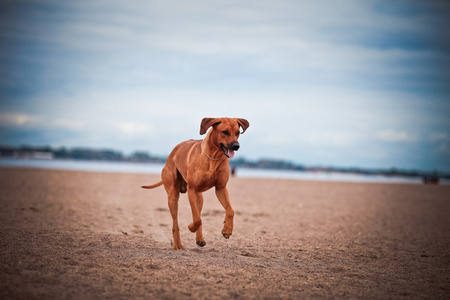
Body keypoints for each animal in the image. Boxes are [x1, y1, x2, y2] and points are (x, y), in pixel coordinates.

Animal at [142, 118, 250, 250]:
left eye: (238, 132)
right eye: (225, 132)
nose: (236, 146)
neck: (213, 157)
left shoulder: (221, 188)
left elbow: (230, 211)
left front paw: (227, 230)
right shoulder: (192, 189)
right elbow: (197, 219)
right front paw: (190, 227)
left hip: (199, 197)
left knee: (199, 214)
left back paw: (200, 239)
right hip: (173, 195)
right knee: (176, 222)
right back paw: (177, 244)